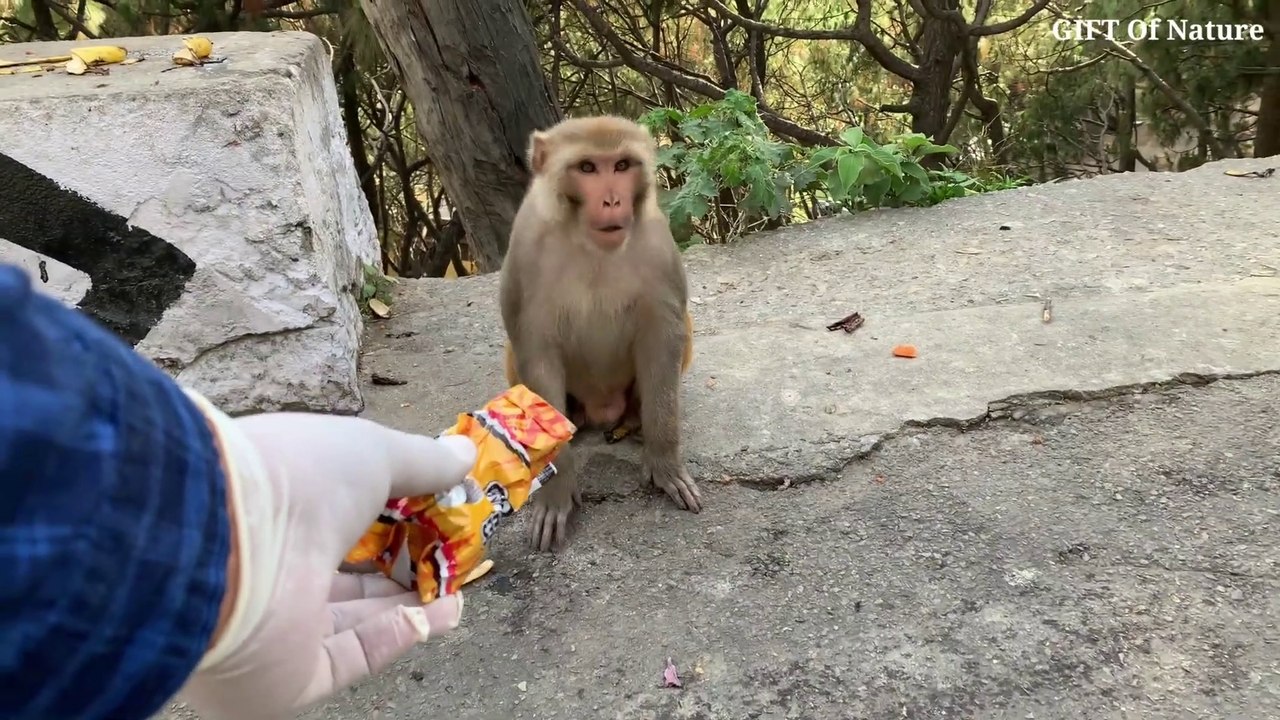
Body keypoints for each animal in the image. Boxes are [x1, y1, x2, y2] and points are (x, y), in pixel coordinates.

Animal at [498, 115, 703, 552]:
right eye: (588, 168)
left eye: (622, 165)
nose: (612, 201)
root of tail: (600, 409)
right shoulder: (526, 247)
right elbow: (534, 348)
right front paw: (556, 492)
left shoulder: (657, 242)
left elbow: (664, 331)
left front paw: (664, 463)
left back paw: (632, 420)